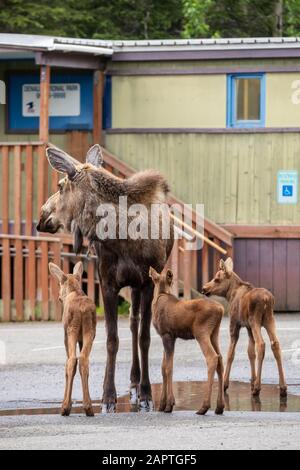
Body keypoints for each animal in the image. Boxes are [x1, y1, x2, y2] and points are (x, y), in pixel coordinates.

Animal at [48, 262, 96, 416]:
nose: (59, 297)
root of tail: (82, 310)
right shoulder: (81, 338)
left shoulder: (65, 335)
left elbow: (69, 363)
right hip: (90, 331)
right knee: (84, 359)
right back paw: (88, 406)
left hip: (71, 330)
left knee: (71, 360)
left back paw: (65, 407)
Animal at [150, 268, 225, 414]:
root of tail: (221, 310)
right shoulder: (166, 336)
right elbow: (163, 367)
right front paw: (161, 405)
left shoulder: (167, 334)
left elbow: (169, 367)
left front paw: (169, 404)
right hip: (214, 333)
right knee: (220, 359)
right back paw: (219, 407)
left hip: (201, 332)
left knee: (212, 357)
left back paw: (204, 406)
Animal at [203, 258, 288, 398]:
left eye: (216, 279)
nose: (204, 288)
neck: (230, 294)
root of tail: (267, 299)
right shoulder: (248, 327)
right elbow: (250, 352)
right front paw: (252, 381)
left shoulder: (234, 323)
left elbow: (230, 353)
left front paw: (225, 384)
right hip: (269, 319)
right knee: (275, 344)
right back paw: (282, 388)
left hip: (255, 320)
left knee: (261, 344)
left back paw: (257, 388)